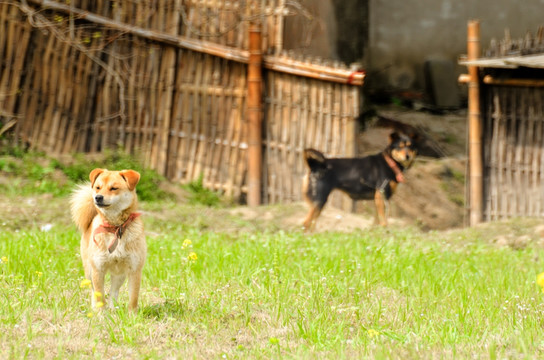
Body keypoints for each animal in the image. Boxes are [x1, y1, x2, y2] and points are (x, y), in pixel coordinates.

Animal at [70, 169, 147, 312]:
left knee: (113, 292)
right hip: (89, 271)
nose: (98, 197)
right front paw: (101, 314)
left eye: (114, 188)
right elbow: (99, 296)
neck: (115, 228)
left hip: (120, 274)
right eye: (98, 187)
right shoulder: (98, 269)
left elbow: (133, 297)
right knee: (93, 292)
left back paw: (114, 309)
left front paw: (132, 315)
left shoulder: (134, 269)